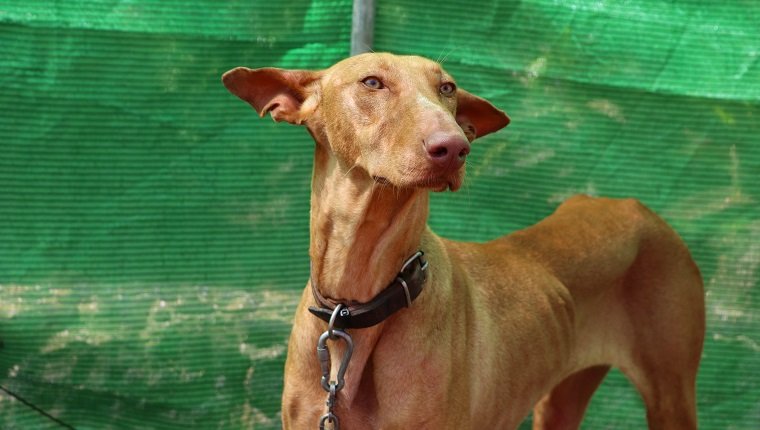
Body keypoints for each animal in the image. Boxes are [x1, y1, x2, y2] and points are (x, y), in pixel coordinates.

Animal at [223, 53, 704, 430]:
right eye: (372, 82)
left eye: (447, 87)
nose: (454, 148)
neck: (356, 305)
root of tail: (632, 205)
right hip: (560, 401)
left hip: (671, 396)